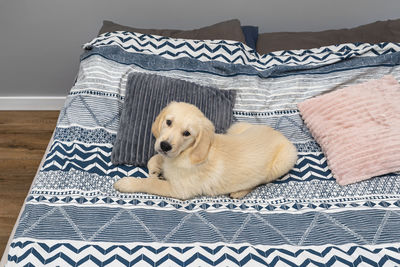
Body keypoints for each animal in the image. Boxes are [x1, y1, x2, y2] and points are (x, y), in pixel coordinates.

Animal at [112, 101, 296, 200]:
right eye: (168, 122)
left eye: (187, 133)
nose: (165, 146)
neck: (186, 153)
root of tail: (279, 133)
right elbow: (155, 159)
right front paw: (156, 168)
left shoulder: (179, 189)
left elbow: (150, 183)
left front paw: (128, 183)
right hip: (236, 128)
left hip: (284, 161)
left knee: (261, 181)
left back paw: (239, 192)